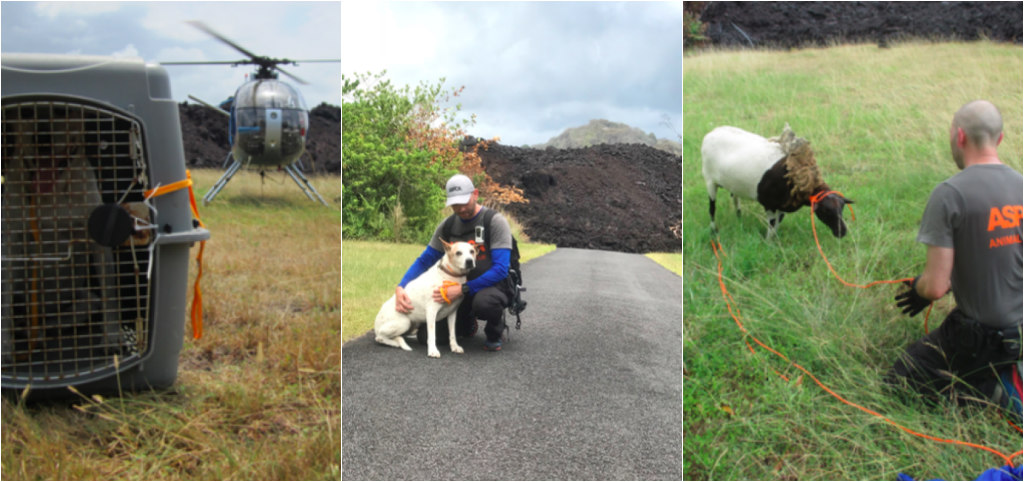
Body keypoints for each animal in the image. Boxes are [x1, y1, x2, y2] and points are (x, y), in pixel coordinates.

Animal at [700, 123, 851, 238]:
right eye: (826, 210)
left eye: (842, 208)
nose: (842, 232)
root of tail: (712, 132)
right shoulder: (770, 204)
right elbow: (772, 226)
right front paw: (769, 245)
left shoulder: (782, 205)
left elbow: (777, 224)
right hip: (709, 180)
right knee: (712, 208)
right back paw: (713, 230)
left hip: (732, 183)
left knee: (735, 198)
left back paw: (739, 218)